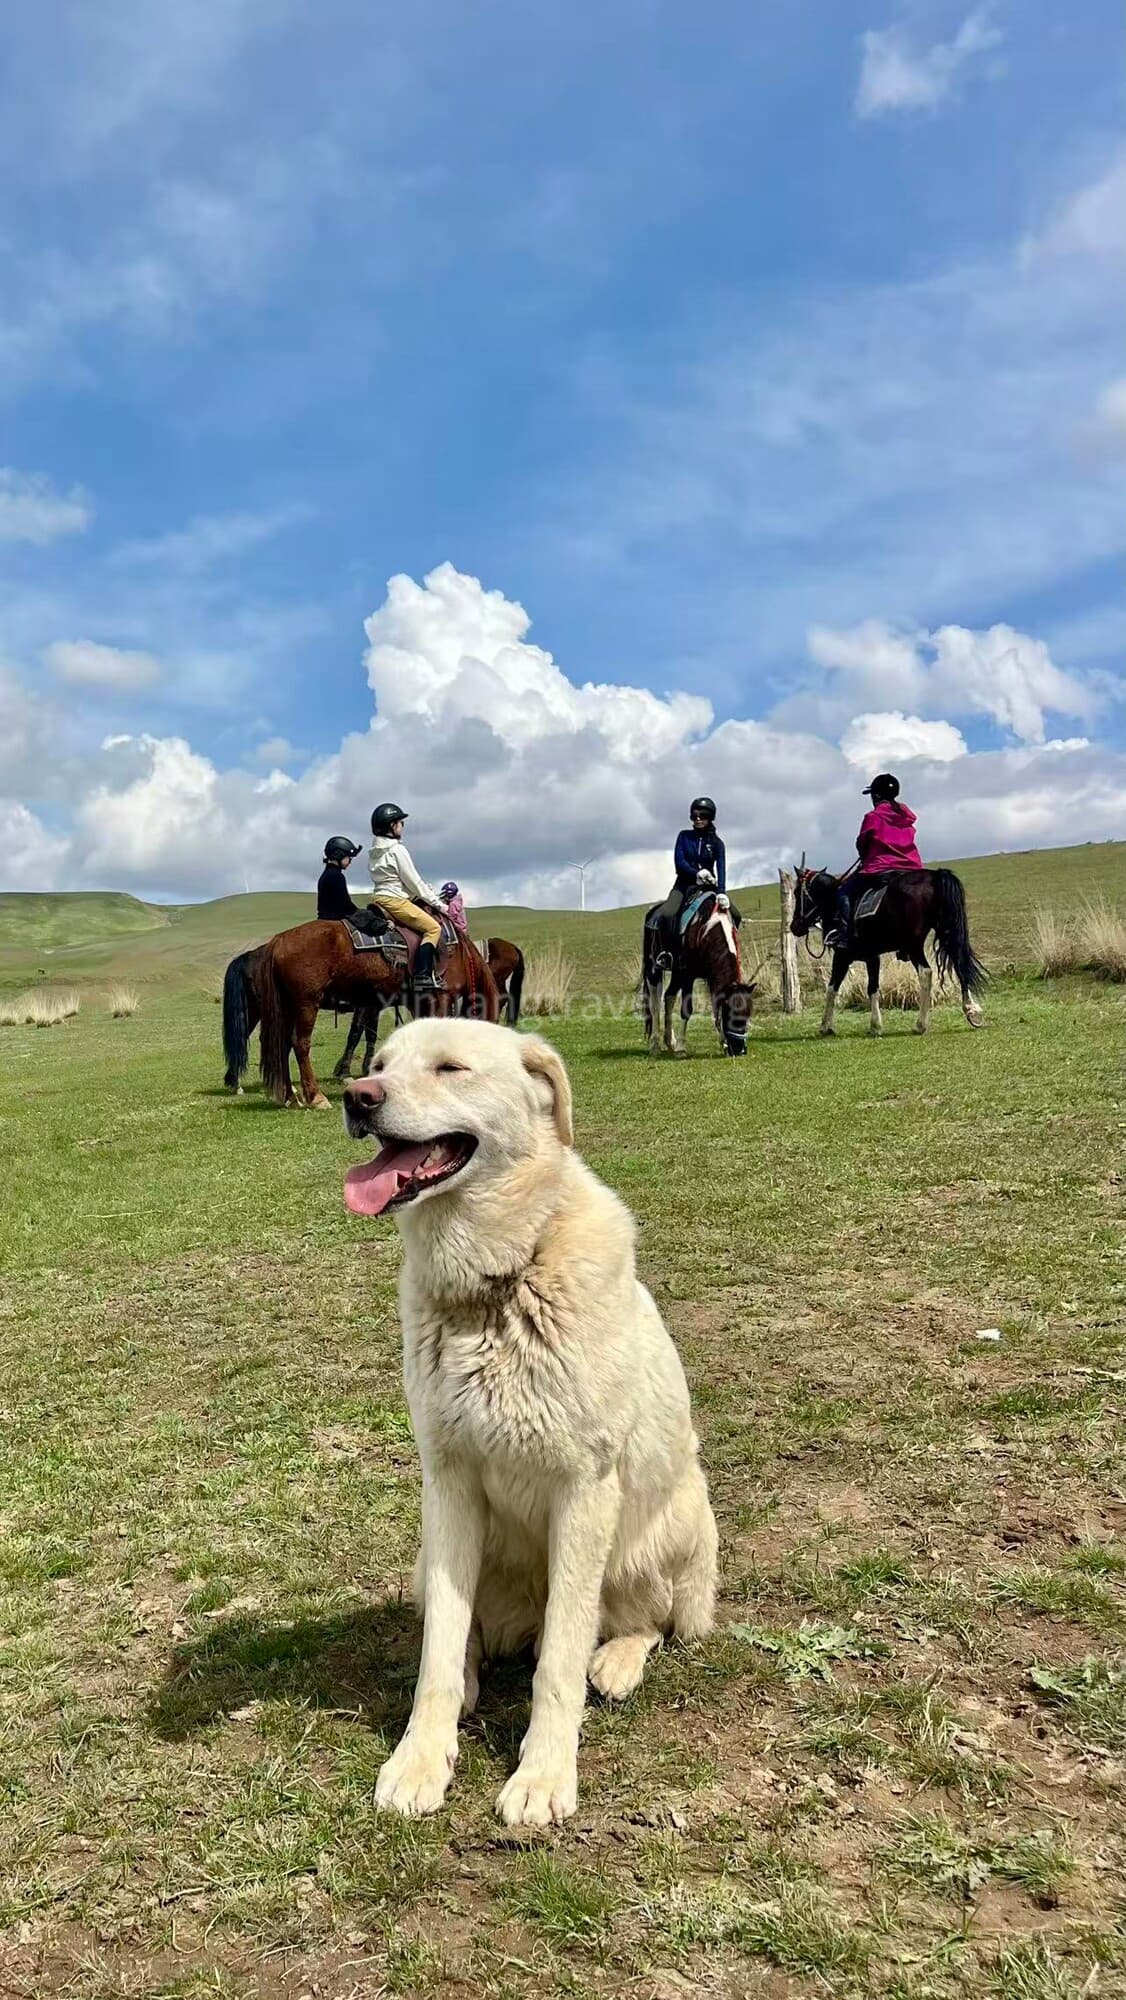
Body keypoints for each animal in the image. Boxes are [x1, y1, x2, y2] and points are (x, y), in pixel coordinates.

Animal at [251, 920, 499, 1107]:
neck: (460, 953)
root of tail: (280, 939)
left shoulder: (417, 1002)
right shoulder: (442, 996)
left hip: (288, 1007)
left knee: (283, 1045)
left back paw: (291, 1098)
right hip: (307, 1003)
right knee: (300, 1043)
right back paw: (316, 1097)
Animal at [641, 892, 756, 1057]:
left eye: (747, 1014)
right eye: (731, 1014)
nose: (739, 1050)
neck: (708, 929)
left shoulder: (710, 977)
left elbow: (715, 1008)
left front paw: (723, 1042)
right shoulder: (688, 976)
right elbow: (686, 1010)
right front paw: (681, 1047)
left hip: (677, 974)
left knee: (669, 996)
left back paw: (670, 1041)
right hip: (654, 970)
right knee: (654, 1005)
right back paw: (655, 1045)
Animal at [790, 862, 987, 1037]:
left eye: (796, 893)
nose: (794, 926)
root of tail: (935, 876)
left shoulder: (843, 956)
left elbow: (833, 989)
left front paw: (827, 1026)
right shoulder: (872, 956)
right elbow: (873, 987)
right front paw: (875, 1025)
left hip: (913, 945)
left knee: (926, 973)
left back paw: (921, 1025)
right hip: (946, 932)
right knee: (959, 964)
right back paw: (971, 1010)